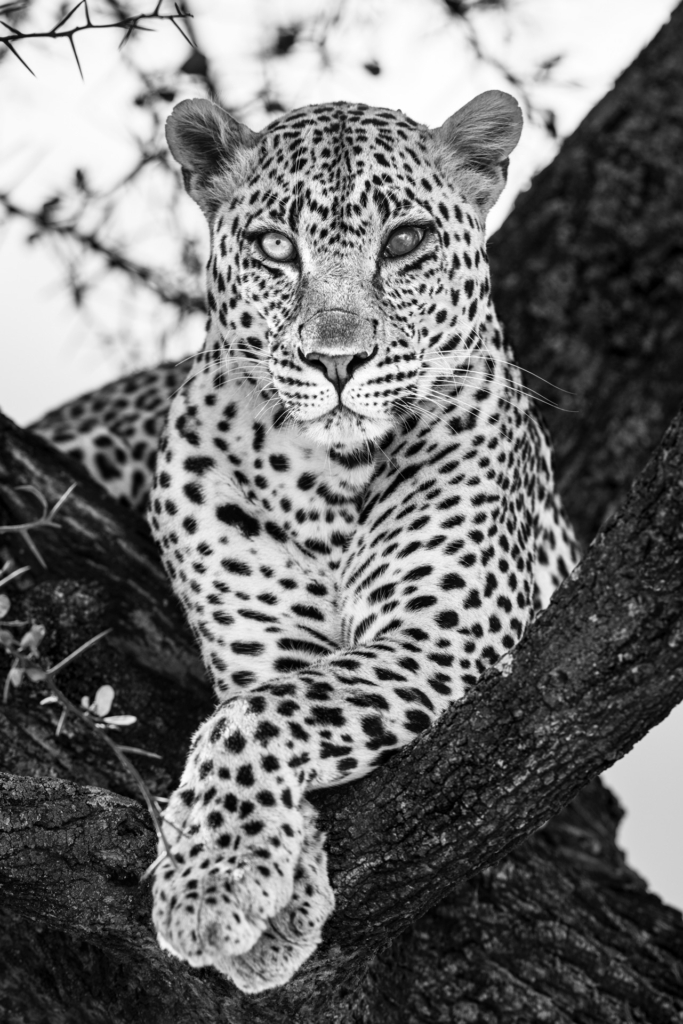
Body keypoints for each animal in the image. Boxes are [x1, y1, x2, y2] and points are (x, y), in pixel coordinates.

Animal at [30, 94, 577, 991]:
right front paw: (253, 892)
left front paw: (213, 890)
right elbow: (262, 706)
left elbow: (256, 720)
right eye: (274, 248)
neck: (327, 479)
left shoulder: (444, 635)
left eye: (405, 241)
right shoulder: (266, 644)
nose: (338, 359)